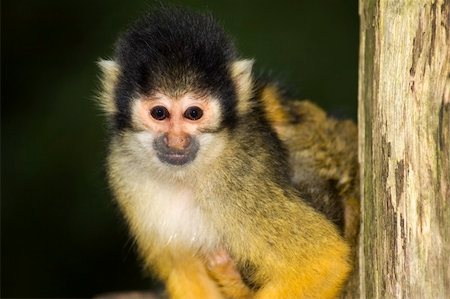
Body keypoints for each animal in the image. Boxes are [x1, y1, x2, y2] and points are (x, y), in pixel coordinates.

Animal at [98, 7, 352, 299]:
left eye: (193, 113)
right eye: (159, 113)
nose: (177, 140)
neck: (186, 176)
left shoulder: (239, 179)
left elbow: (323, 261)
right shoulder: (124, 172)